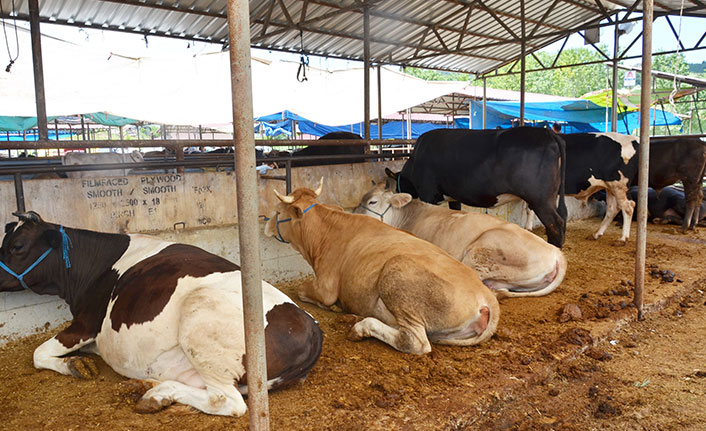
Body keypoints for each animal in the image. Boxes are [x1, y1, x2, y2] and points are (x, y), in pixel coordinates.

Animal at [0, 211, 320, 416]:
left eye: (18, 246)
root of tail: (313, 327)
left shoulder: (86, 323)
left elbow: (37, 354)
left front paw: (74, 365)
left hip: (199, 317)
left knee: (226, 401)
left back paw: (154, 395)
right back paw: (148, 386)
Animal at [262, 178, 498, 354]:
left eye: (278, 211)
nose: (266, 226)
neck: (325, 233)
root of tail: (486, 296)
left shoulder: (325, 288)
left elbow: (301, 290)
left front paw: (332, 307)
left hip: (397, 275)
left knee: (415, 341)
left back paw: (361, 327)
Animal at [384, 126, 568, 248]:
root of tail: (547, 133)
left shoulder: (428, 193)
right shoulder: (453, 197)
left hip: (540, 199)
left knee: (556, 225)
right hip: (549, 197)